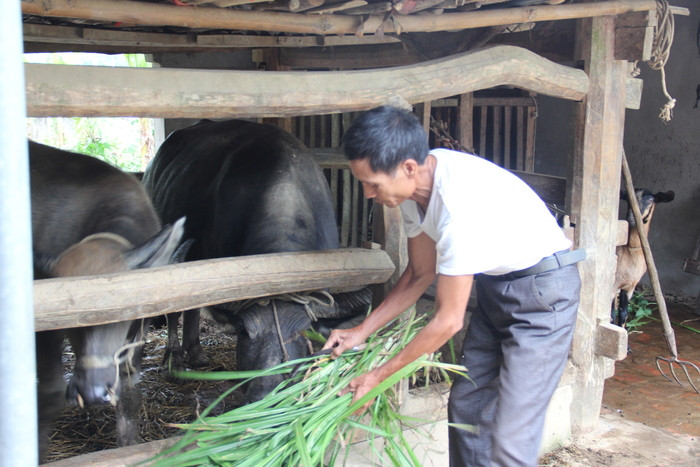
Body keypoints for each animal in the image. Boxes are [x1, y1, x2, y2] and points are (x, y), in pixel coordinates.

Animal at [30, 141, 186, 462]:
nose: (92, 391)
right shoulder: (45, 332)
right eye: (73, 319)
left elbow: (130, 394)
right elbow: (49, 394)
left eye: (122, 313)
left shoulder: (136, 335)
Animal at [144, 119, 372, 400]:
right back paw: (174, 360)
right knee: (175, 311)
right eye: (244, 331)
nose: (266, 394)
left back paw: (196, 352)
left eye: (302, 332)